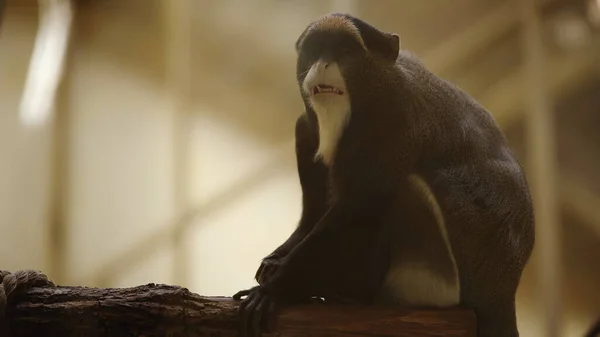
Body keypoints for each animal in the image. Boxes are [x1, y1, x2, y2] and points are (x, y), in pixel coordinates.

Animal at [232, 13, 536, 336]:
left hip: (437, 279)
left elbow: (354, 211)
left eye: (345, 51)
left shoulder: (391, 129)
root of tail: (501, 294)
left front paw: (275, 290)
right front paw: (276, 261)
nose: (322, 65)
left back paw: (349, 295)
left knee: (402, 191)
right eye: (315, 50)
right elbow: (314, 208)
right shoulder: (307, 129)